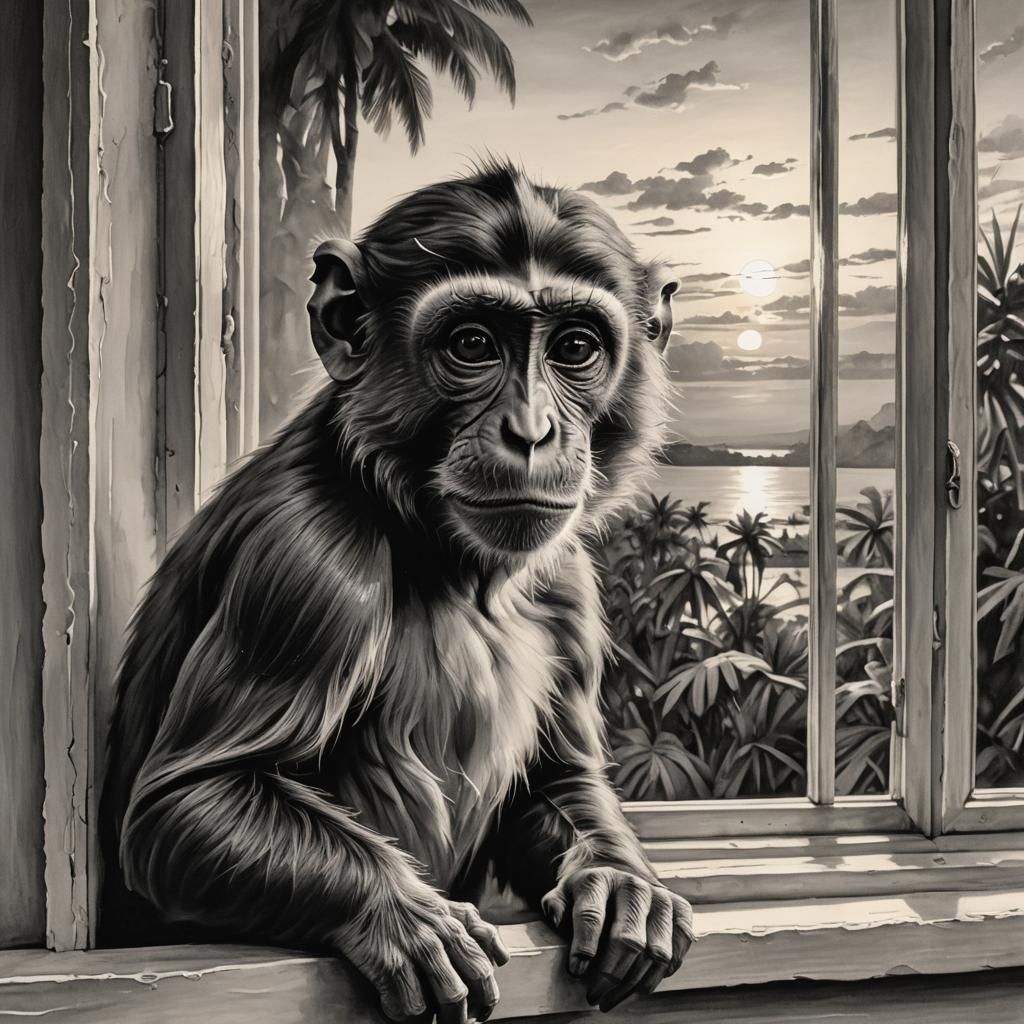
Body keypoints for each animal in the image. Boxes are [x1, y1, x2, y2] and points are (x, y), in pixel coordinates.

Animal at [100, 159, 692, 1022]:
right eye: (473, 344)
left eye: (576, 347)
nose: (532, 431)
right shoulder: (306, 561)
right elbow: (190, 800)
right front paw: (403, 916)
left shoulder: (569, 583)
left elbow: (557, 778)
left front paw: (618, 881)